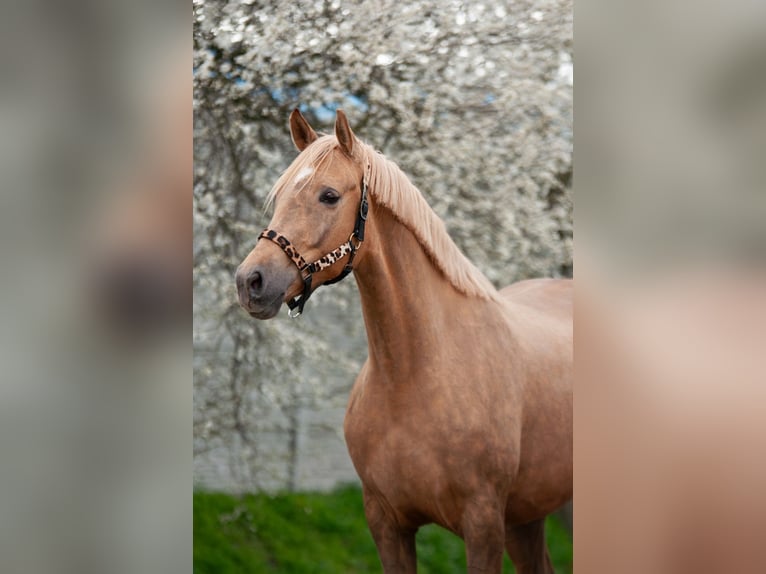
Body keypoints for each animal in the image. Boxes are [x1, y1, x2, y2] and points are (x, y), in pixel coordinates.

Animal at [236, 109, 572, 574]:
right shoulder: (386, 523)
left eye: (328, 196)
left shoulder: (483, 524)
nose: (251, 282)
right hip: (527, 515)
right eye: (281, 194)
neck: (414, 375)